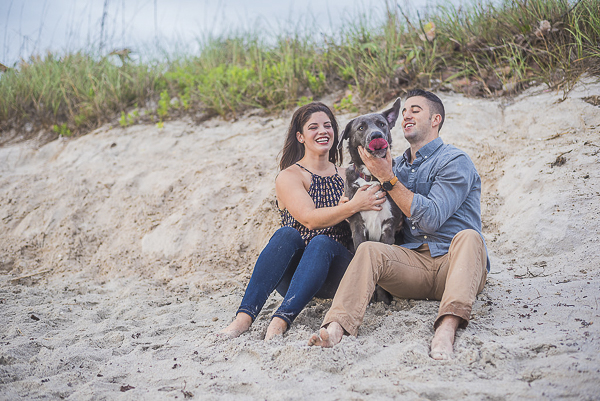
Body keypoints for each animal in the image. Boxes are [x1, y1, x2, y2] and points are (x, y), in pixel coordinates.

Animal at [338, 98, 404, 302]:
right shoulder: (358, 227)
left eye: (382, 124)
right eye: (361, 128)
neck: (372, 178)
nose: (376, 135)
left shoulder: (389, 227)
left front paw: (383, 300)